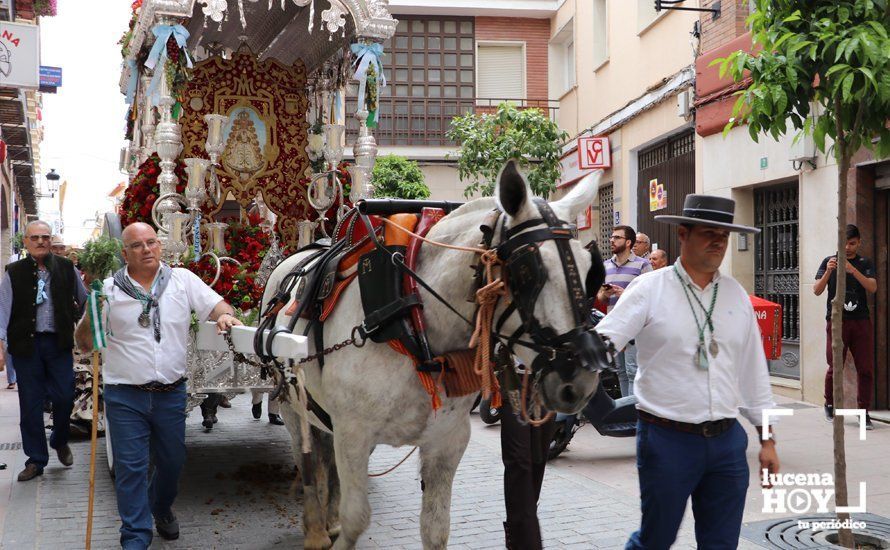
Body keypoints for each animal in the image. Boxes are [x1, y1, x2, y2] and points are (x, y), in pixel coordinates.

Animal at [260, 162, 600, 548]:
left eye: (588, 267)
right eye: (528, 270)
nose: (579, 379)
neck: (411, 319)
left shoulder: (447, 441)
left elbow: (436, 528)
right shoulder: (354, 433)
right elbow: (356, 518)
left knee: (324, 457)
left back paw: (327, 520)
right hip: (291, 404)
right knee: (307, 460)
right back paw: (316, 528)